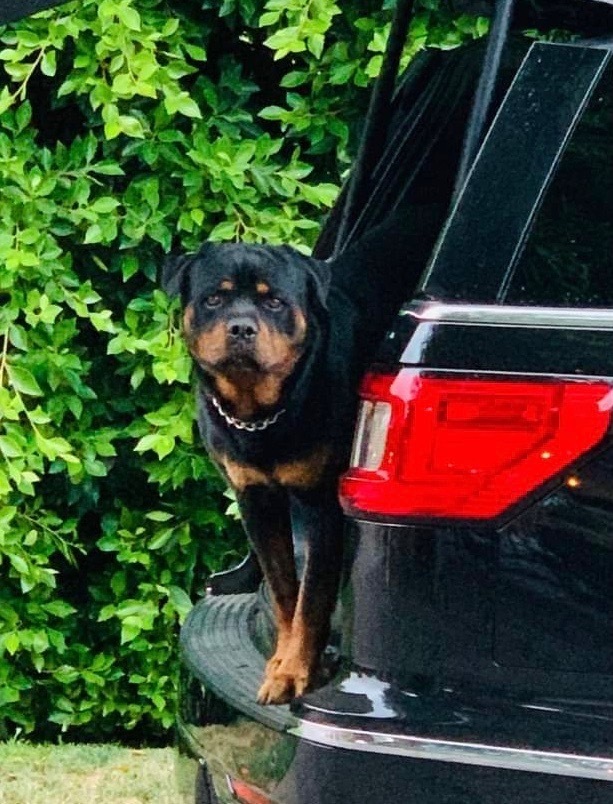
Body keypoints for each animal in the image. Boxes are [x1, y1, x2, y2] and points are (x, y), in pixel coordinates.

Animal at [161, 206, 440, 704]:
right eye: (215, 299)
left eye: (274, 302)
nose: (241, 328)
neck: (262, 412)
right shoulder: (257, 501)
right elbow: (284, 591)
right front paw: (283, 660)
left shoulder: (322, 505)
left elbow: (311, 599)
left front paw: (293, 671)